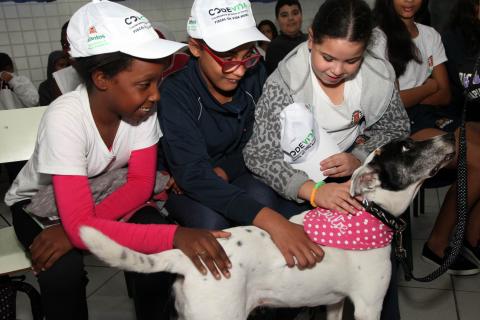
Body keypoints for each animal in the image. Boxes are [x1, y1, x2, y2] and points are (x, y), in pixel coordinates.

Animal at [80, 134, 456, 318]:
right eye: (407, 147)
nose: (449, 133)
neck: (369, 212)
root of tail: (185, 256)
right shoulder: (367, 306)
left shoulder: (334, 303)